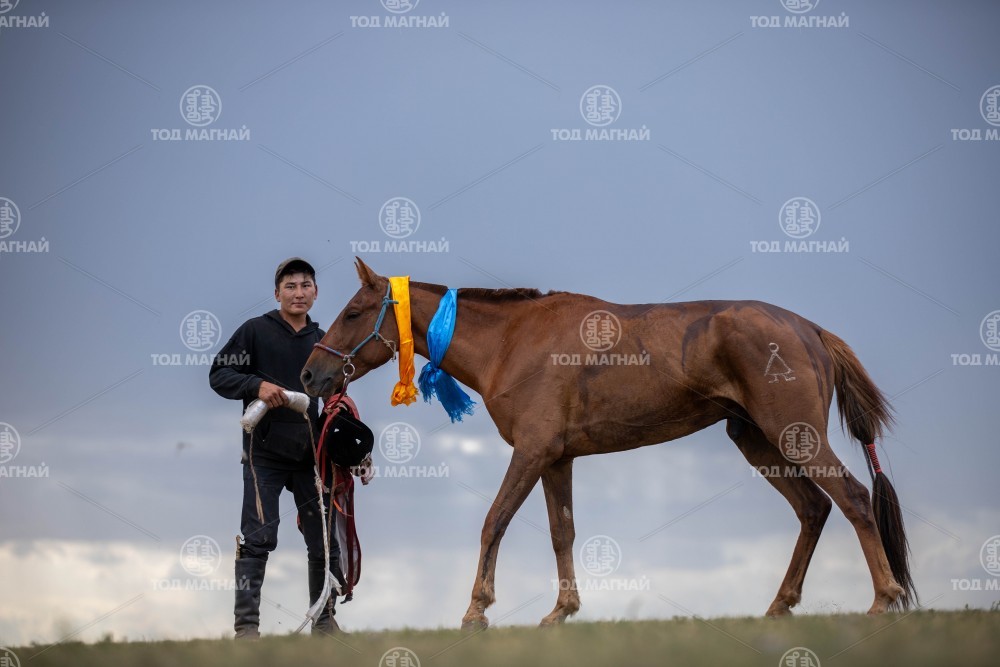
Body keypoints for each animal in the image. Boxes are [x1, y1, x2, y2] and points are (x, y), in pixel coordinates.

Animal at [300, 258, 916, 629]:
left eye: (353, 312)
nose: (309, 375)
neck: (511, 340)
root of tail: (809, 328)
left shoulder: (531, 452)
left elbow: (494, 520)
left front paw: (477, 610)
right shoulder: (557, 459)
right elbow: (561, 532)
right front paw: (562, 611)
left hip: (796, 437)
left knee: (853, 500)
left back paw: (883, 599)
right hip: (760, 444)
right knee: (814, 510)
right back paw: (780, 605)